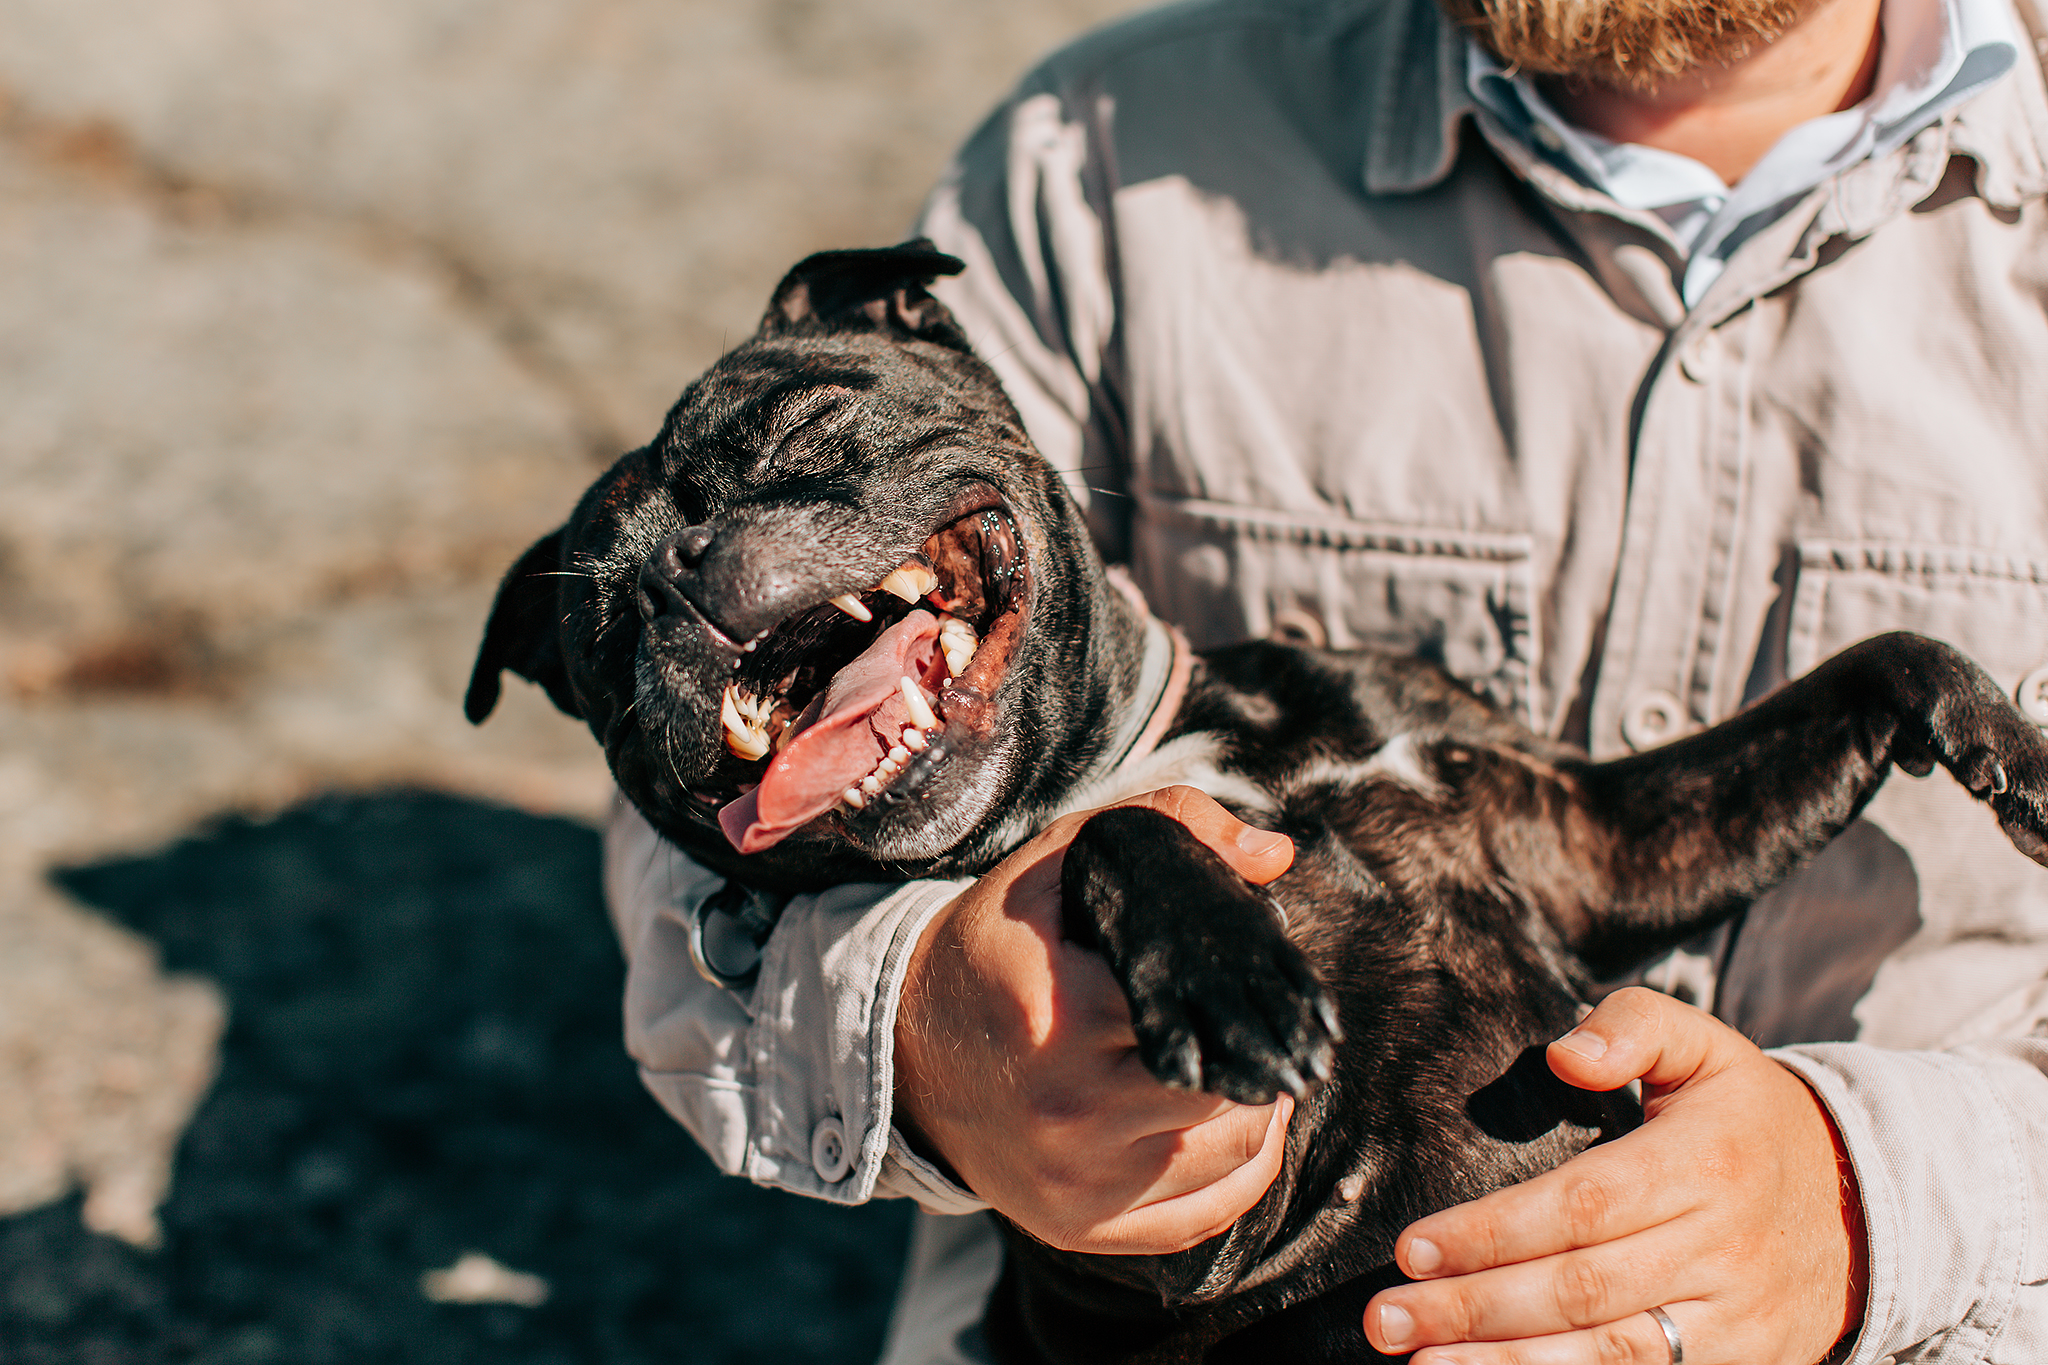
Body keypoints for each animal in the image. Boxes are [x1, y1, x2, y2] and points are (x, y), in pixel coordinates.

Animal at [471, 240, 2048, 1358]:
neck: (1154, 742)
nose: (678, 577)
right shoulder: (1177, 1230)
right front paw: (1230, 972)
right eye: (604, 641)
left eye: (801, 415)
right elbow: (1124, 837)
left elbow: (1860, 665)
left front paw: (2002, 734)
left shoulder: (1601, 843)